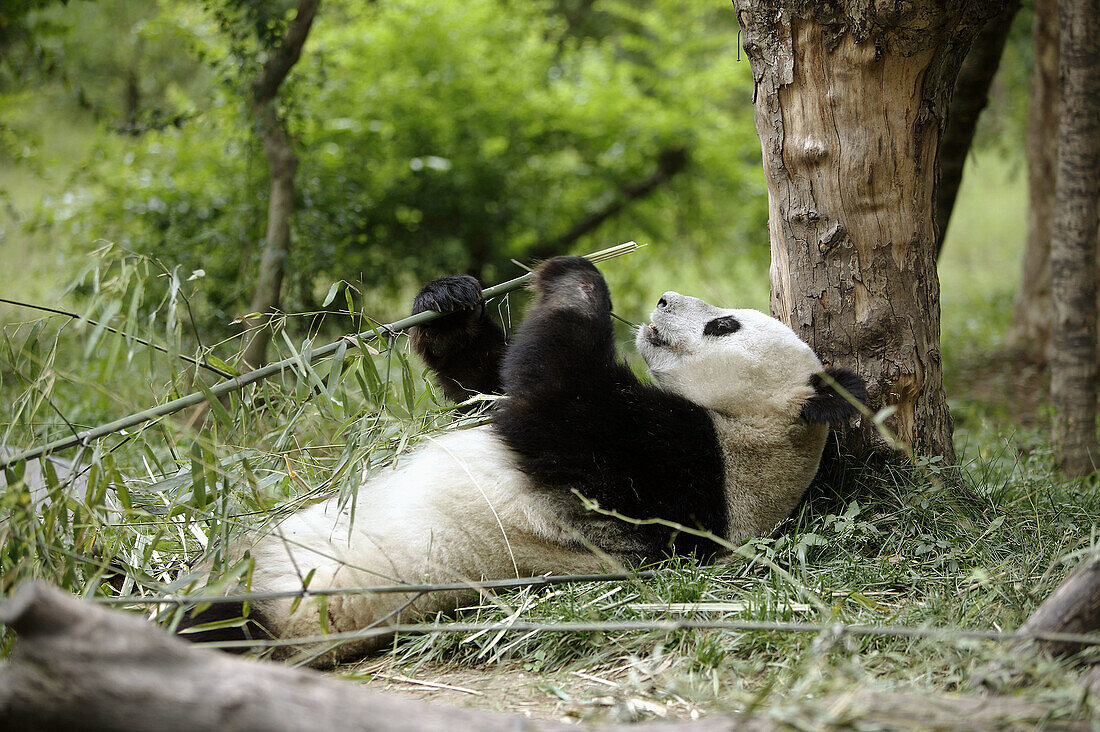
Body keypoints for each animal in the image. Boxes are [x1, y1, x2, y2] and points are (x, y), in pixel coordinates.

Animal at [180, 255, 866, 660]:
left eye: (724, 325)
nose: (666, 300)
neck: (753, 437)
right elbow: (487, 388)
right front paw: (451, 301)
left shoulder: (672, 463)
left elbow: (551, 387)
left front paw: (576, 273)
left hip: (307, 600)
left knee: (216, 624)